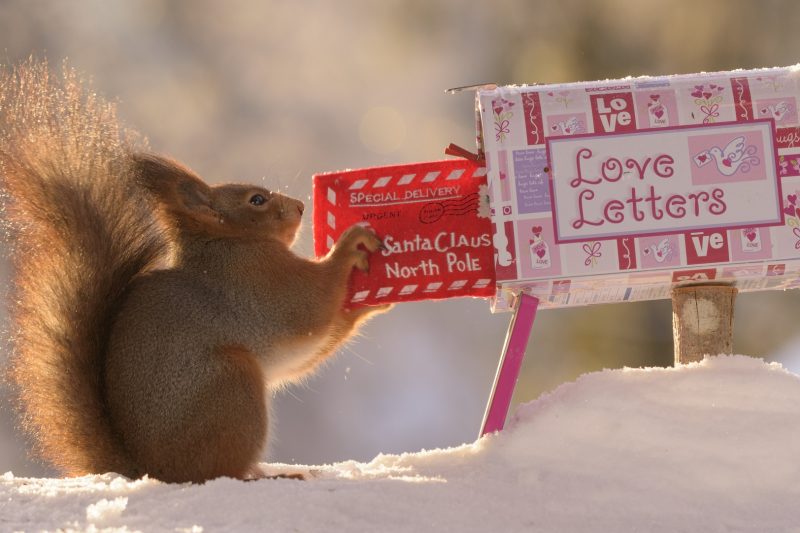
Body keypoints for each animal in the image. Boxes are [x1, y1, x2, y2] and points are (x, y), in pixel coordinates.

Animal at [0, 59, 389, 483]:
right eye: (256, 200)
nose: (301, 207)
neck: (229, 242)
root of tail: (151, 469)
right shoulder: (260, 283)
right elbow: (313, 302)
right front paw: (350, 244)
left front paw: (371, 304)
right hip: (231, 385)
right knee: (222, 471)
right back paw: (269, 475)